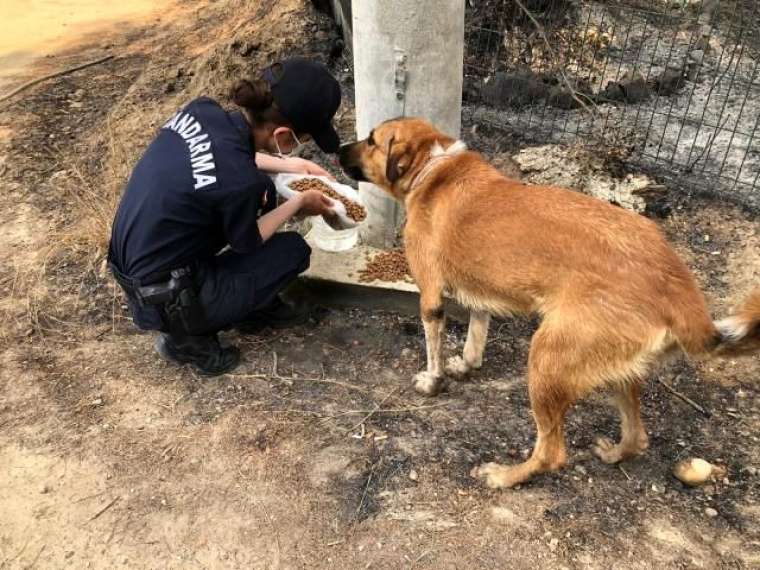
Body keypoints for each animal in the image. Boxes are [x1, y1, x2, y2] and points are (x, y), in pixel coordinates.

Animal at [342, 116, 760, 488]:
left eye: (371, 140)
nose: (337, 147)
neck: (434, 167)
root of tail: (674, 283)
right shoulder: (481, 291)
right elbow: (476, 335)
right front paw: (465, 365)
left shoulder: (430, 293)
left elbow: (434, 347)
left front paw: (433, 381)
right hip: (616, 372)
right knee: (637, 436)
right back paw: (613, 453)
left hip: (545, 357)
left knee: (552, 452)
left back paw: (504, 477)